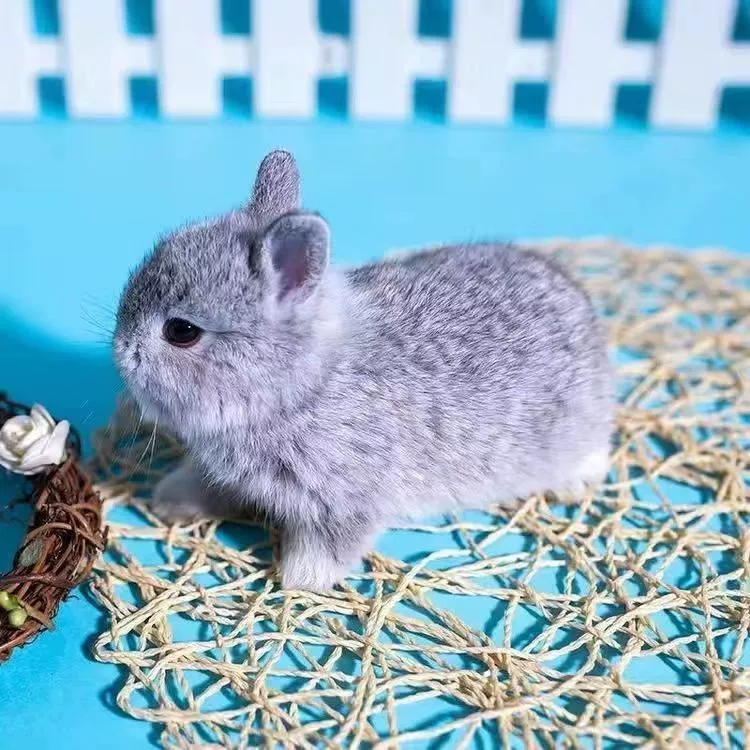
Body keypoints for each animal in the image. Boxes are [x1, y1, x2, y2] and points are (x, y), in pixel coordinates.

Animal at [114, 149, 614, 591]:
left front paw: (298, 580)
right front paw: (171, 500)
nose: (121, 352)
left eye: (181, 331)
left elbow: (330, 546)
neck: (302, 386)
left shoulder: (341, 504)